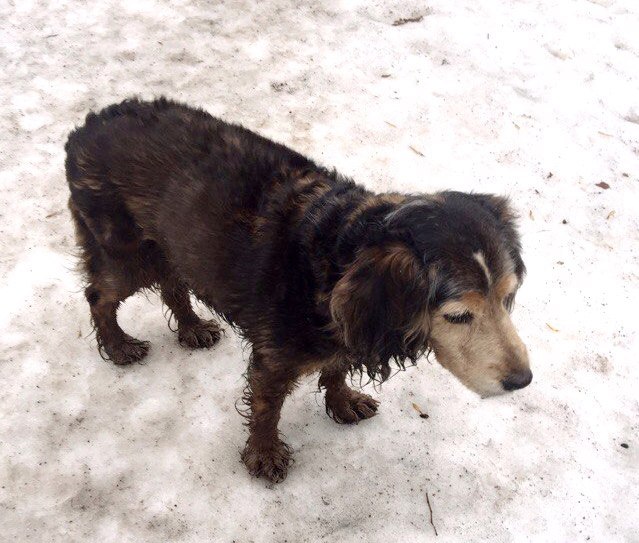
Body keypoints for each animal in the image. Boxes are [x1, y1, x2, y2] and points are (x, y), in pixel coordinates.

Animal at [67, 98, 532, 484]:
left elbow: (337, 368)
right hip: (126, 251)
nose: (523, 381)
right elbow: (266, 409)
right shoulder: (274, 358)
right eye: (458, 315)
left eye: (507, 297)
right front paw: (265, 455)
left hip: (169, 244)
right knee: (99, 295)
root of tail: (87, 126)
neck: (336, 253)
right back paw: (119, 345)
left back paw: (192, 327)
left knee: (172, 284)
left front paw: (342, 402)